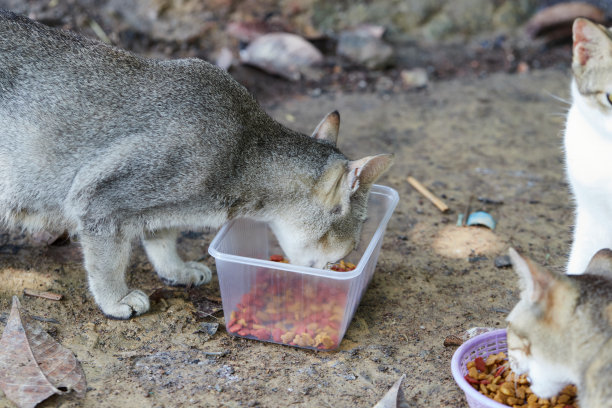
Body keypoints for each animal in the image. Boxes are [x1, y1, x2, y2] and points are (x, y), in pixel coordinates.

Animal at [0, 10, 392, 318]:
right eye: (357, 233)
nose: (342, 261)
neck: (242, 152)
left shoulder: (155, 208)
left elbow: (161, 238)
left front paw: (176, 269)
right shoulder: (99, 198)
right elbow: (106, 261)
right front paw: (115, 298)